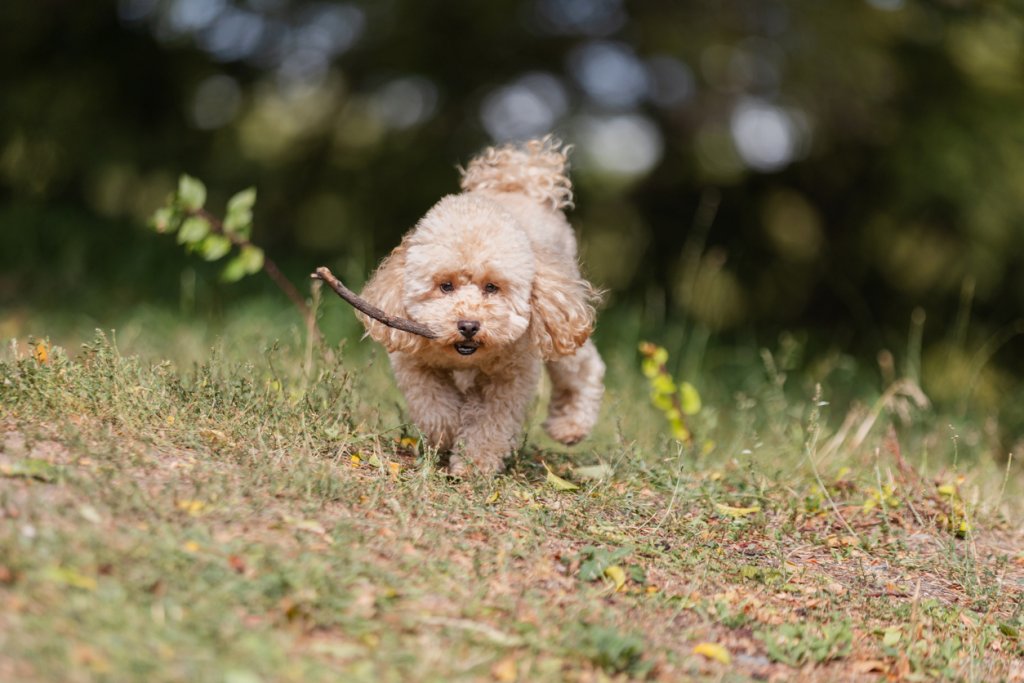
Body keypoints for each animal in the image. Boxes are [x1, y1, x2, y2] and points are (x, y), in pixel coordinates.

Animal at [356, 137, 602, 475]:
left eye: (492, 287)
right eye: (445, 285)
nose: (469, 326)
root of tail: (521, 183)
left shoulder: (512, 376)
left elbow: (491, 422)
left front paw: (475, 463)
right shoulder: (413, 362)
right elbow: (433, 403)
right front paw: (447, 431)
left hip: (560, 329)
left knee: (583, 367)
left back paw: (571, 425)